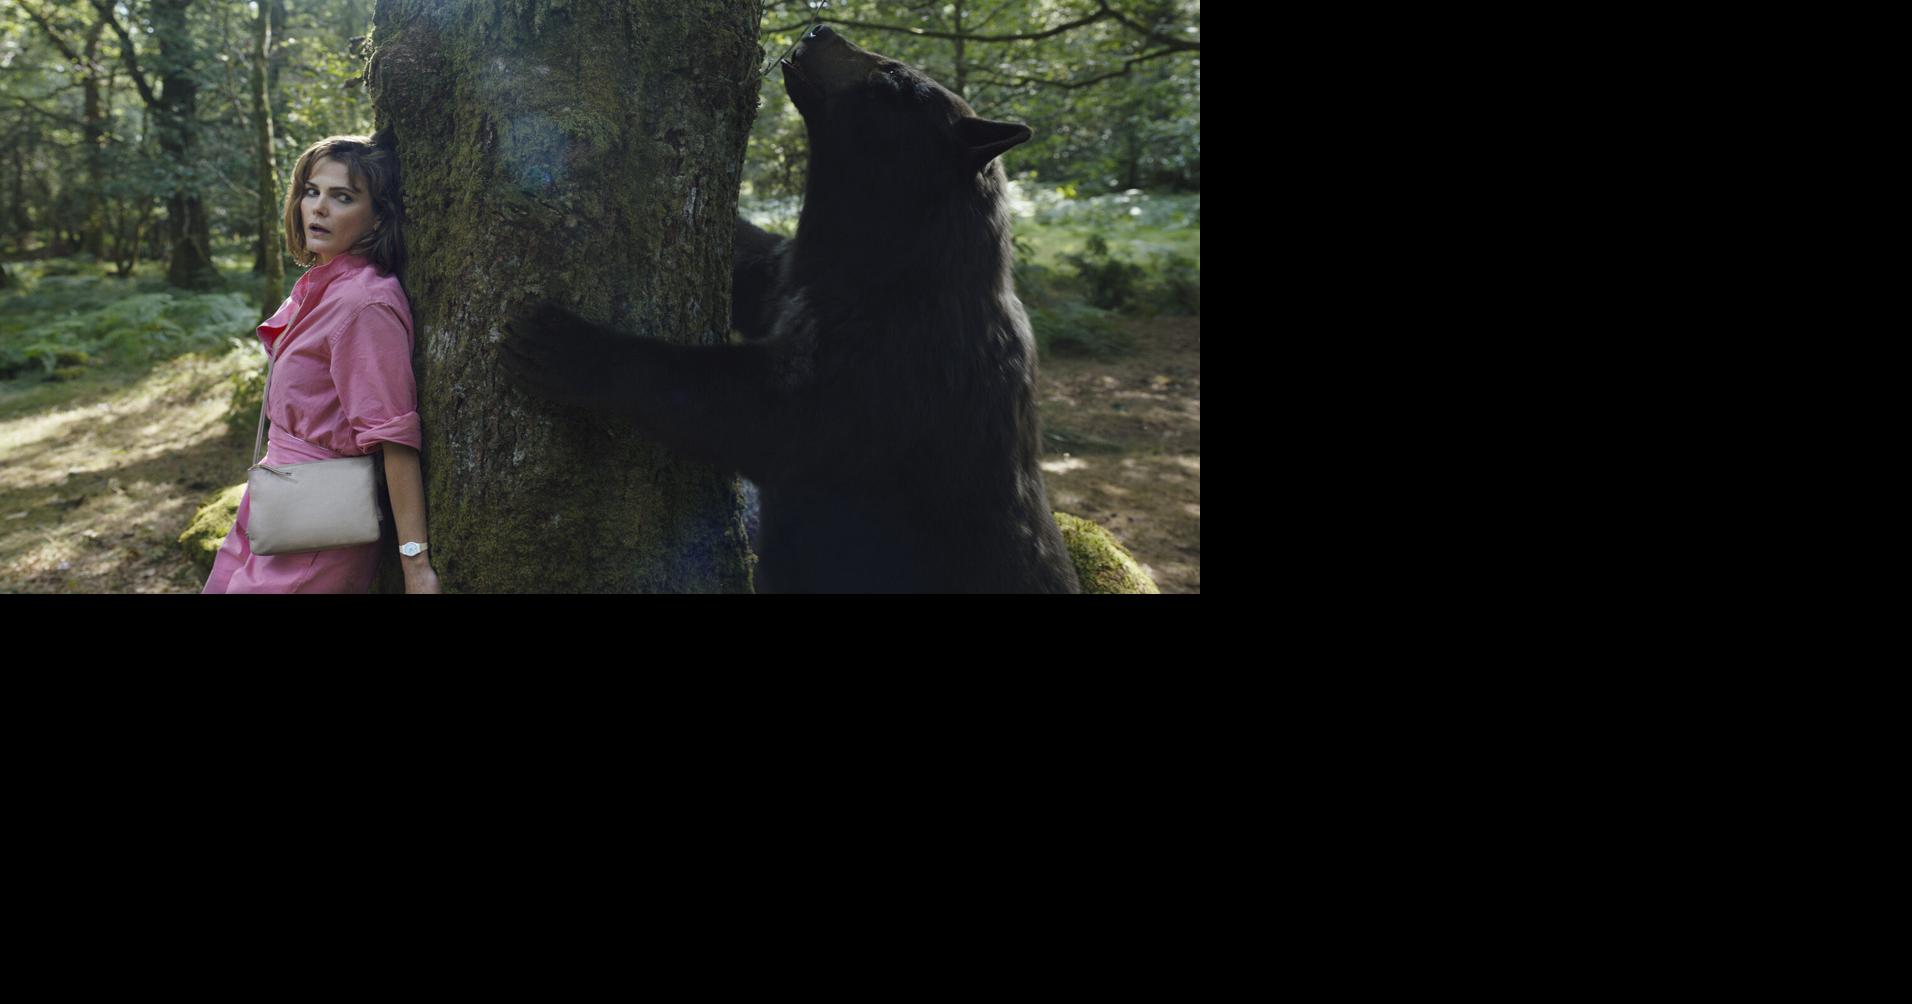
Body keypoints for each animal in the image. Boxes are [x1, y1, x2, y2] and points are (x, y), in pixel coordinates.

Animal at [502, 24, 1079, 594]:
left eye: (891, 79)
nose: (820, 28)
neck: (889, 262)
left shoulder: (898, 364)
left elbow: (766, 414)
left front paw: (569, 346)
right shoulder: (794, 277)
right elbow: (754, 267)